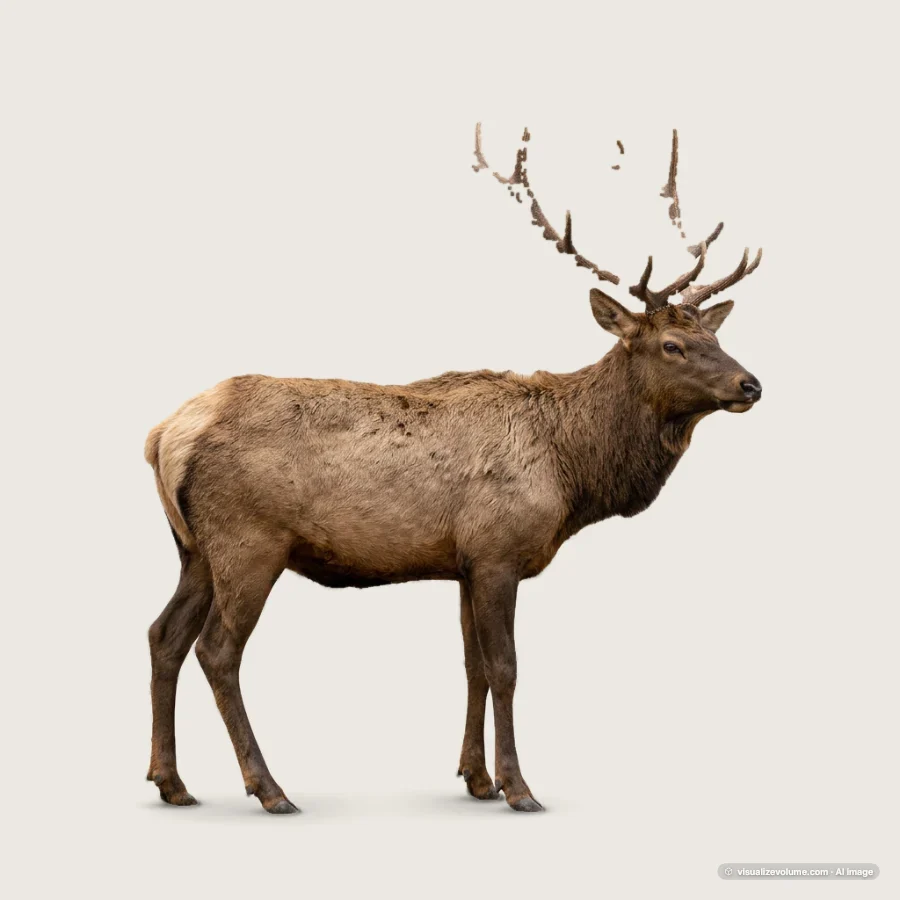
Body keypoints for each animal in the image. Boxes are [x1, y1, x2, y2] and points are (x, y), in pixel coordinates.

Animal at [144, 124, 763, 814]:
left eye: (716, 338)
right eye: (672, 345)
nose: (751, 384)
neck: (573, 470)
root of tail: (165, 435)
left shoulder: (464, 562)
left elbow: (472, 667)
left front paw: (476, 778)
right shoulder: (497, 550)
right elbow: (506, 668)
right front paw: (519, 788)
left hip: (194, 548)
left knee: (163, 635)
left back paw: (172, 782)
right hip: (249, 541)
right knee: (217, 650)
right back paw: (269, 788)